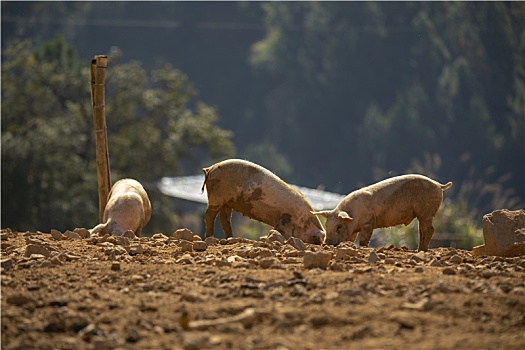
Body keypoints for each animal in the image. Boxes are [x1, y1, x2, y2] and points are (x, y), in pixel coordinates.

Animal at [312, 175, 450, 252]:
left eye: (339, 226)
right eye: (327, 225)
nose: (326, 243)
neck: (354, 215)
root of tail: (439, 185)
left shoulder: (368, 223)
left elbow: (364, 239)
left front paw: (363, 248)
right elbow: (351, 239)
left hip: (427, 212)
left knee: (429, 229)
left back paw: (421, 250)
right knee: (422, 230)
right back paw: (419, 249)